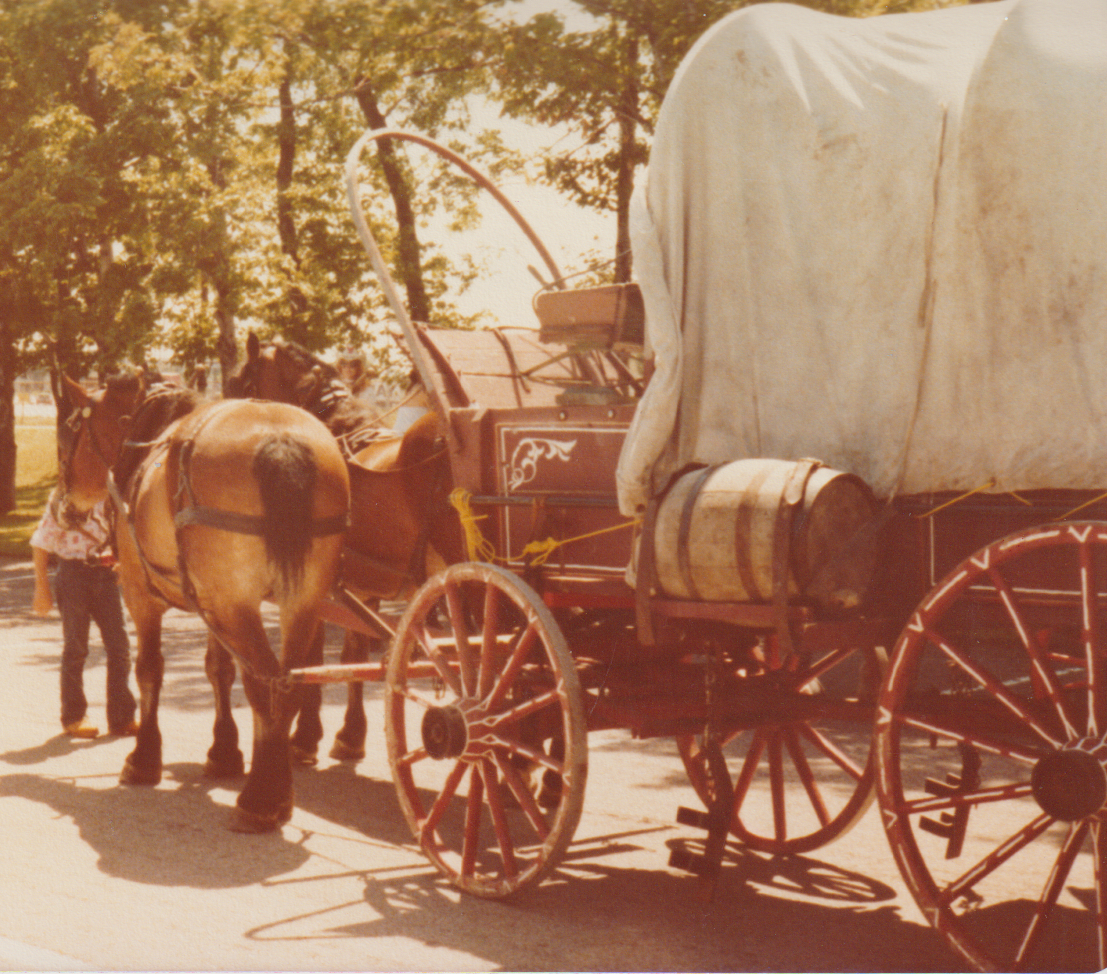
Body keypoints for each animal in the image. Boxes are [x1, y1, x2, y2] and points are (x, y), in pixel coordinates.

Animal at [62, 371, 347, 827]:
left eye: (71, 432)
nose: (66, 506)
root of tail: (279, 437)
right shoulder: (209, 599)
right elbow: (219, 670)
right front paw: (224, 751)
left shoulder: (141, 595)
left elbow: (149, 671)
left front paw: (144, 758)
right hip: (299, 600)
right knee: (291, 682)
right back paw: (280, 787)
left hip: (238, 605)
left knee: (265, 681)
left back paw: (260, 799)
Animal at [229, 334, 462, 761]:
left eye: (241, 384)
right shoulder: (362, 585)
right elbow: (352, 655)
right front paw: (351, 735)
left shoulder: (318, 583)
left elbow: (314, 654)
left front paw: (306, 736)